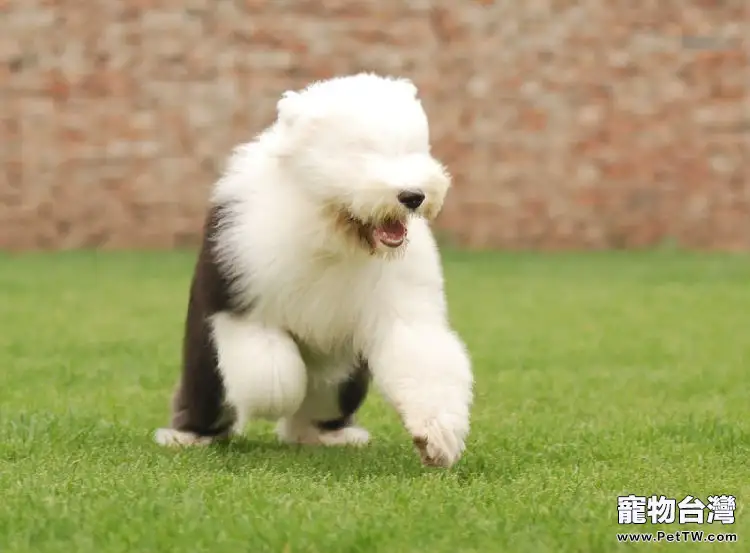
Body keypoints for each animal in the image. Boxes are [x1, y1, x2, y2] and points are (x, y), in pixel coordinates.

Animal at [154, 72, 476, 466]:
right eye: (360, 152)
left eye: (415, 149)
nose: (413, 196)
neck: (328, 230)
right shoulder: (242, 293)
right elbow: (273, 376)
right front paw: (271, 401)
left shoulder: (404, 306)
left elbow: (423, 356)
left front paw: (437, 437)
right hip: (205, 356)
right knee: (208, 393)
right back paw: (186, 436)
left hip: (344, 382)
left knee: (320, 404)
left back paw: (324, 436)